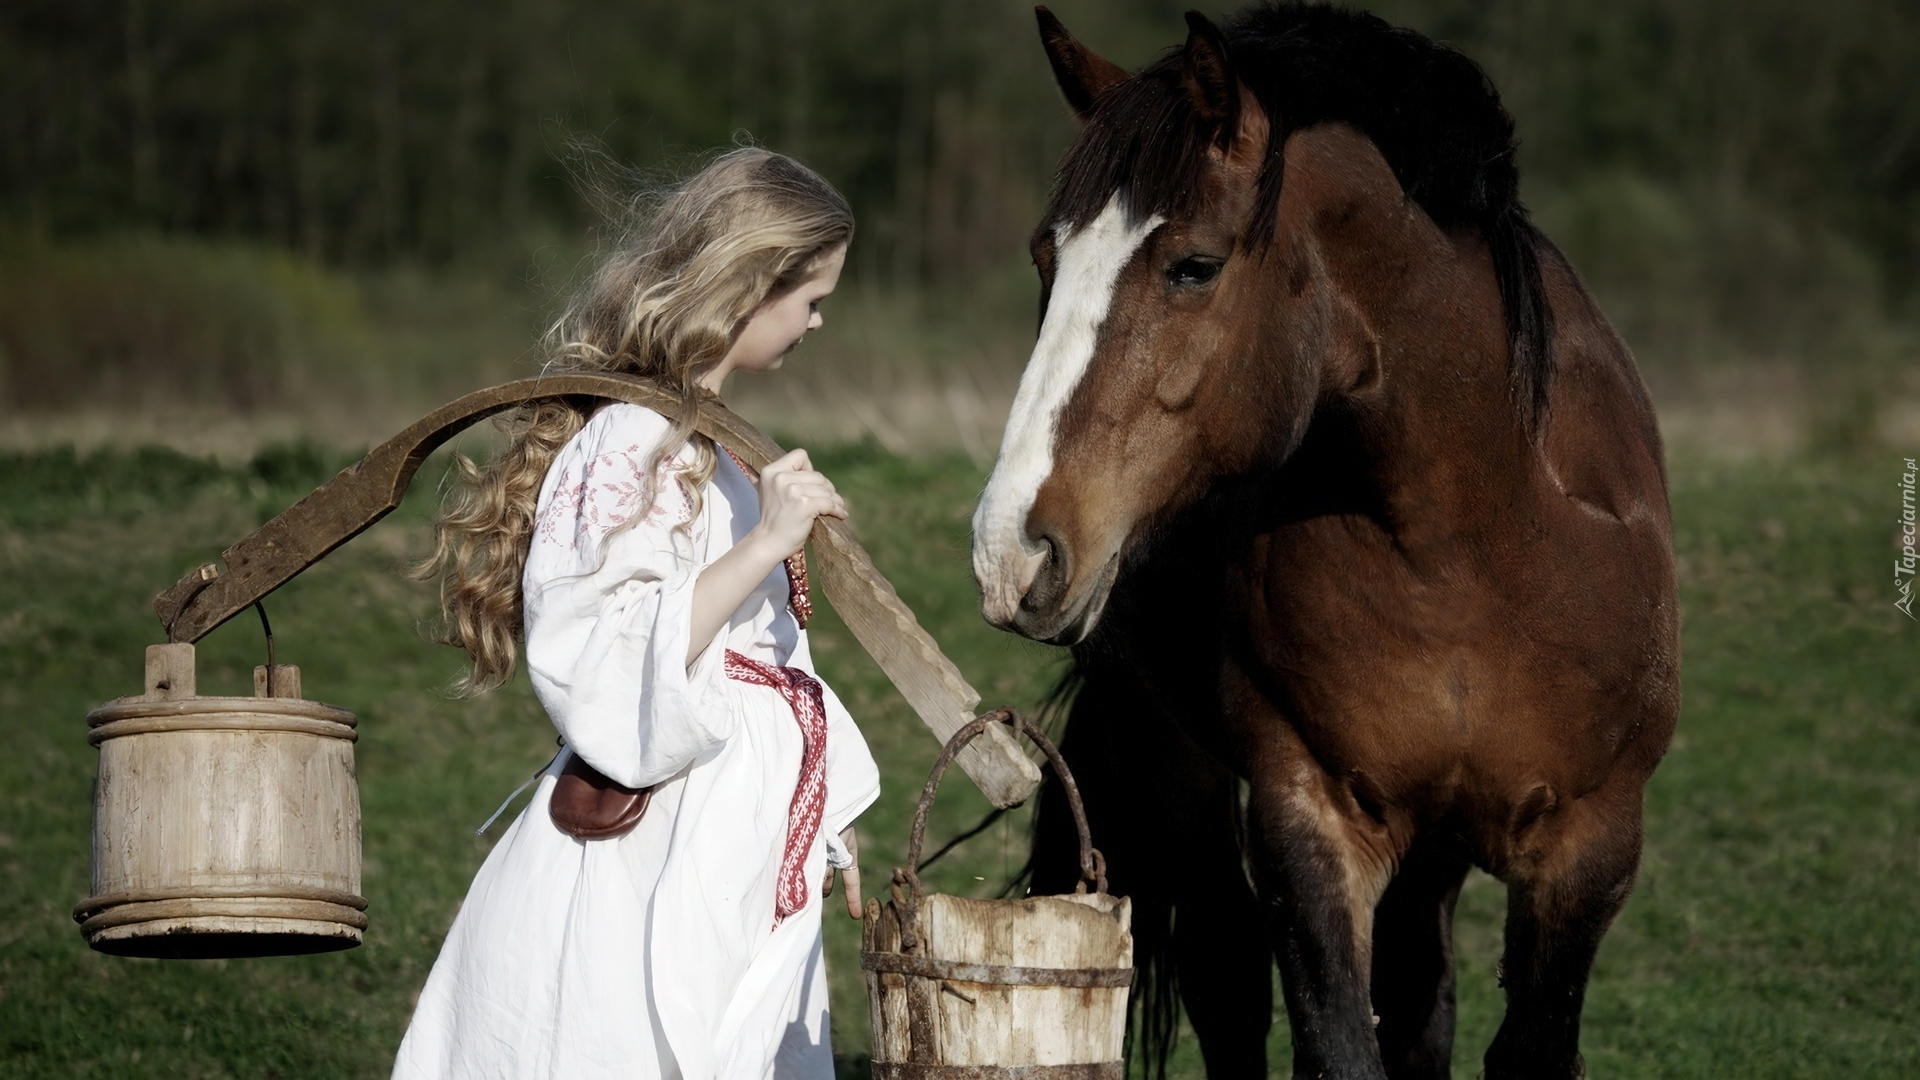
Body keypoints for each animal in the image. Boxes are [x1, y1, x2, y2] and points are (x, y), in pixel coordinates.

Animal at [975, 8, 1681, 1076]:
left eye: (1195, 265)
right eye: (1046, 261)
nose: (1010, 547)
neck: (1473, 545)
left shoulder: (1591, 847)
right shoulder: (1311, 819)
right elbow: (1335, 1036)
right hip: (1175, 749)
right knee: (1228, 969)